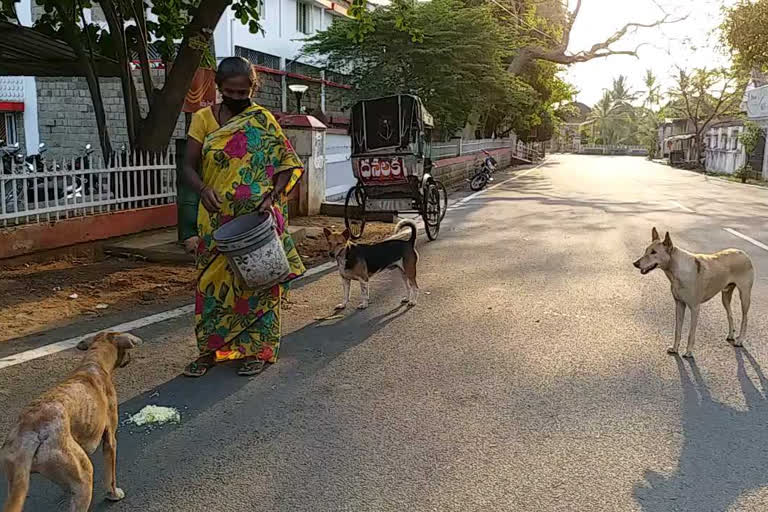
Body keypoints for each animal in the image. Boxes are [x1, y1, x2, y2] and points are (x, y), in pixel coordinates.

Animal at [0, 330, 142, 510]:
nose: (130, 358)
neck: (94, 363)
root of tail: (30, 433)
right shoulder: (110, 439)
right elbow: (111, 475)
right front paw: (113, 494)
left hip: (15, 480)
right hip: (84, 475)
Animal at [632, 228, 752, 360]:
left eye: (654, 252)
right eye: (646, 251)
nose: (635, 263)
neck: (676, 270)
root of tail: (743, 253)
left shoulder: (695, 308)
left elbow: (691, 333)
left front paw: (689, 352)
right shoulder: (679, 305)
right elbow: (677, 330)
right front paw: (675, 349)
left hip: (744, 296)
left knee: (745, 318)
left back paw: (740, 340)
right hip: (725, 296)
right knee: (730, 315)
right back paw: (731, 335)